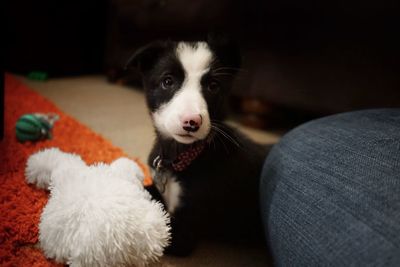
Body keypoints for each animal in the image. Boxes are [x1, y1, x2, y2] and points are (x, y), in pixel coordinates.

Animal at [126, 36, 270, 256]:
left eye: (213, 86)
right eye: (167, 81)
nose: (191, 122)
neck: (181, 156)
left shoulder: (184, 231)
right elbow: (147, 190)